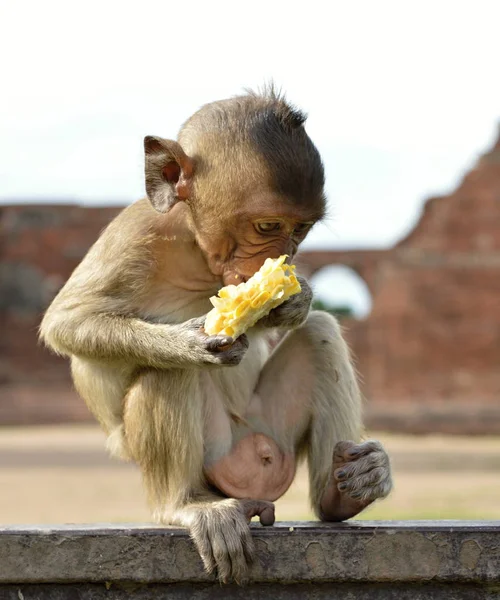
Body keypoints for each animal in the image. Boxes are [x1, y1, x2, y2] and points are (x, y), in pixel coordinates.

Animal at [40, 86, 390, 584]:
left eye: (301, 229)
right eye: (268, 226)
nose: (286, 256)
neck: (196, 248)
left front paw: (296, 298)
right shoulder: (135, 234)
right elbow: (66, 321)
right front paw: (190, 342)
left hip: (268, 426)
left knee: (322, 331)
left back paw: (343, 492)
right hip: (210, 454)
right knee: (165, 373)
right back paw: (185, 504)